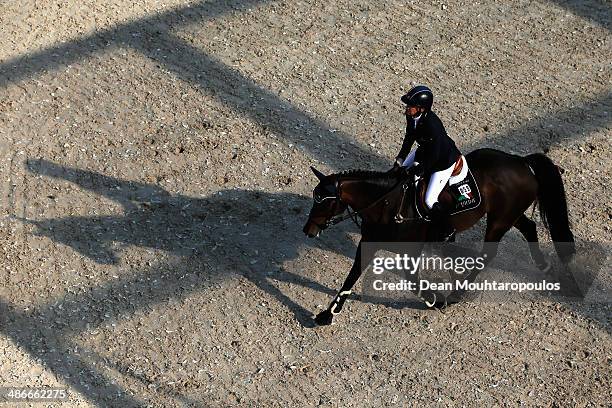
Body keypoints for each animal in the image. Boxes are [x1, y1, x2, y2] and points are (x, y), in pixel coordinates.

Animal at [304, 148, 576, 326]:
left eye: (323, 201)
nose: (308, 231)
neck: (387, 203)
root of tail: (522, 162)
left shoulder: (411, 251)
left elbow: (413, 282)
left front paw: (436, 300)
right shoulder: (368, 244)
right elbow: (351, 277)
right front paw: (328, 314)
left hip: (499, 221)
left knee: (488, 254)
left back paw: (456, 295)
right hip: (508, 214)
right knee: (529, 228)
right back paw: (548, 269)